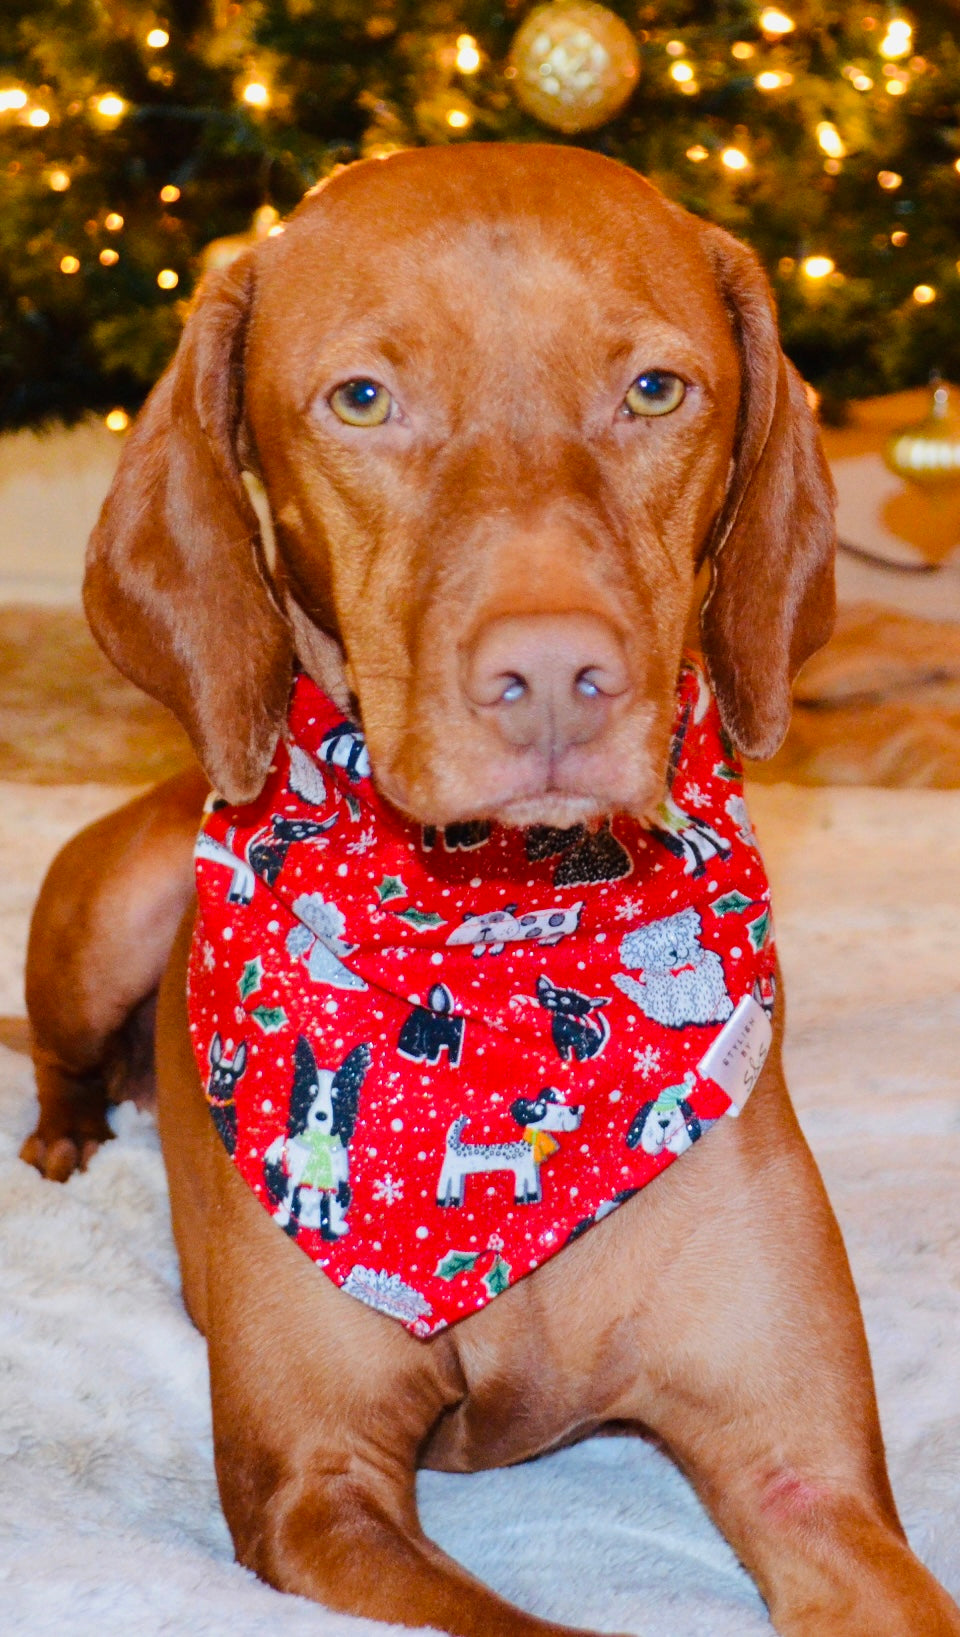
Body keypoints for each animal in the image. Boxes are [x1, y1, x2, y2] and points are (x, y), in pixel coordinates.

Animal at [435, 1093, 583, 1211]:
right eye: (549, 1111)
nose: (574, 1109)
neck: (530, 1144)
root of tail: (453, 1145)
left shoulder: (527, 1171)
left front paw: (527, 1200)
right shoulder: (525, 1170)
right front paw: (525, 1200)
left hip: (456, 1174)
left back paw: (452, 1202)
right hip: (450, 1172)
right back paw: (444, 1202)